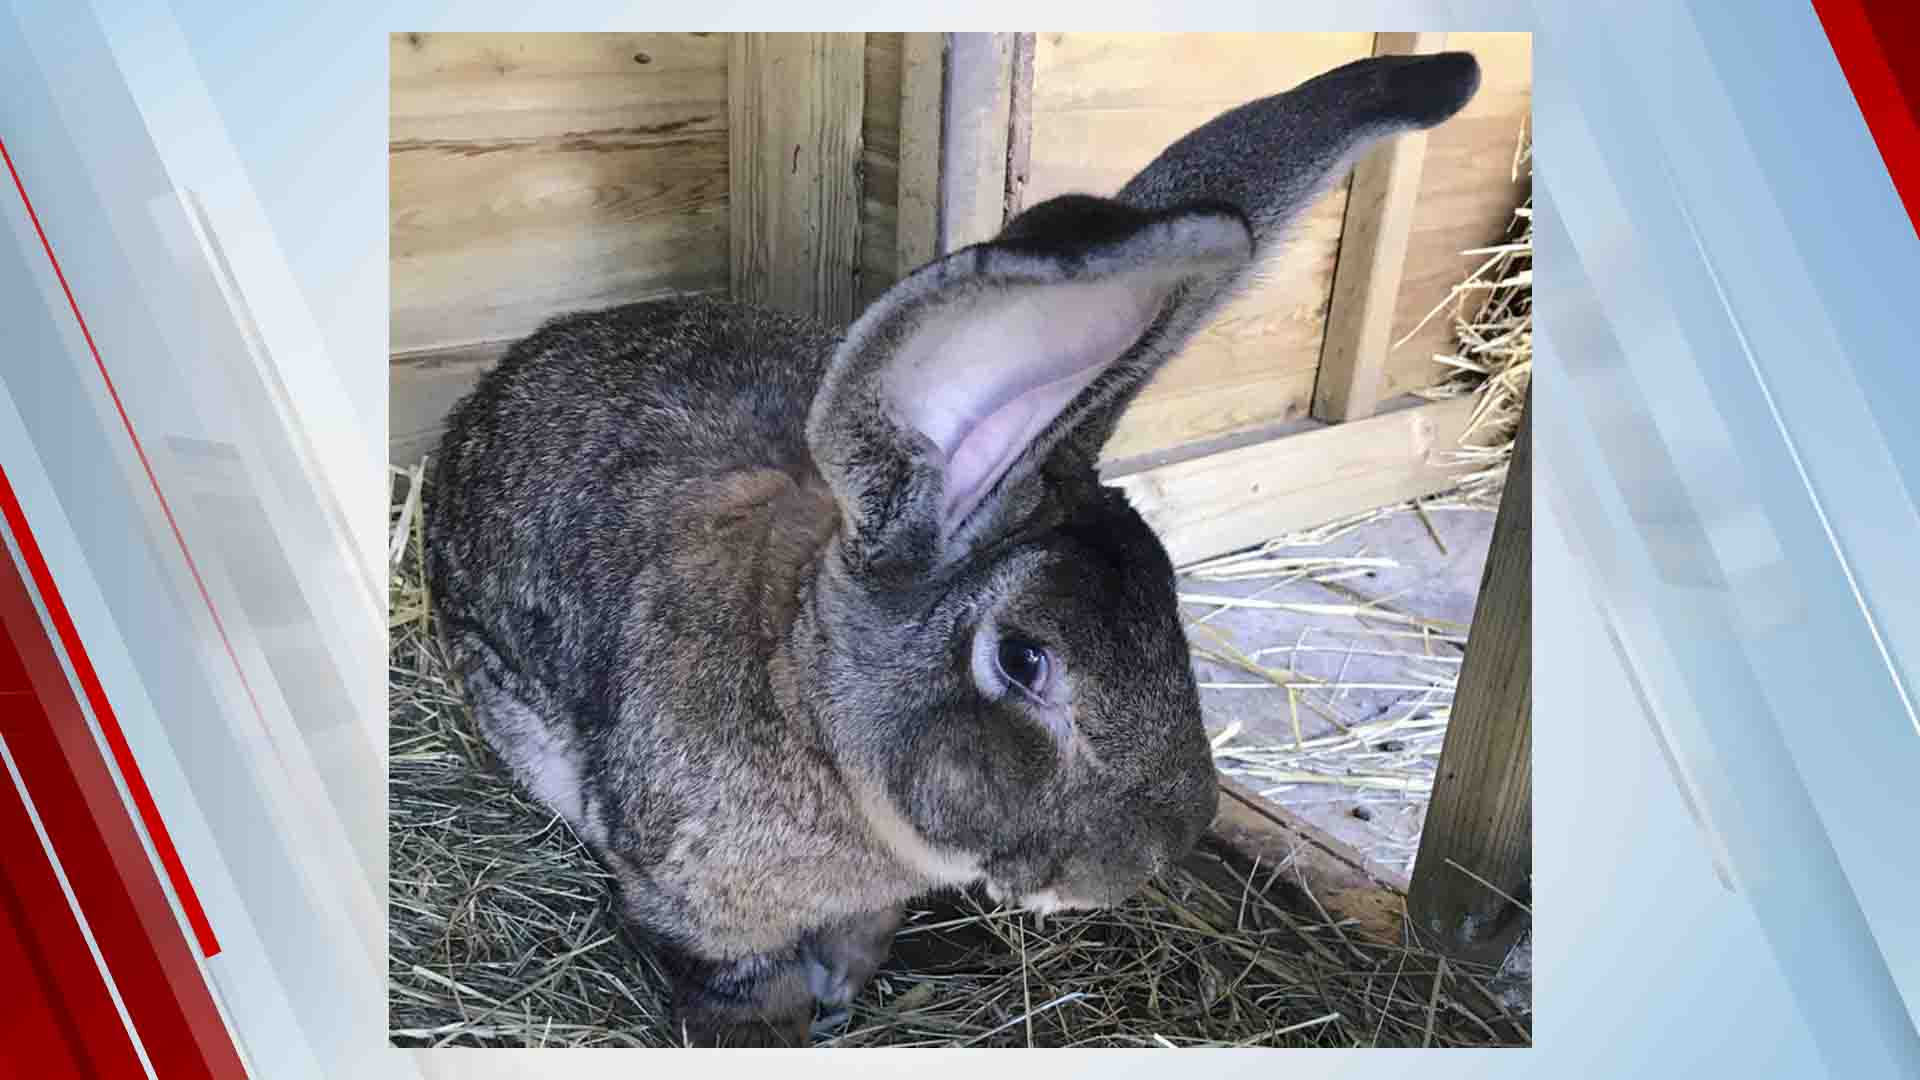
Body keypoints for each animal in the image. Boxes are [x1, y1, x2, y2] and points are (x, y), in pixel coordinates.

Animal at [424, 50, 1481, 1046]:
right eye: (1023, 660)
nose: (1155, 853)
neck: (802, 700)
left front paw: (844, 994)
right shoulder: (697, 910)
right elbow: (741, 987)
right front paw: (792, 1025)